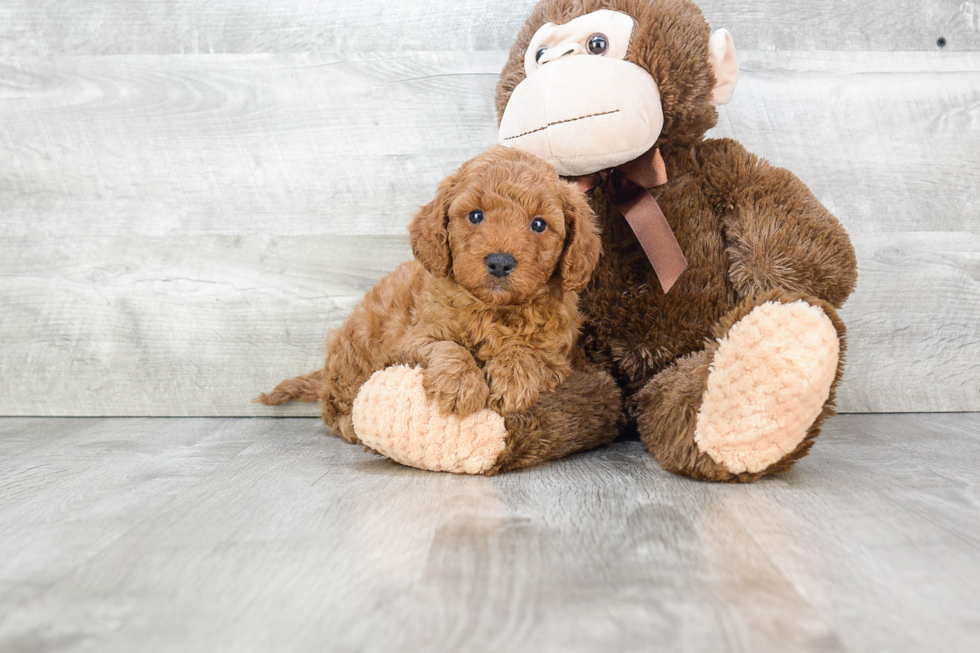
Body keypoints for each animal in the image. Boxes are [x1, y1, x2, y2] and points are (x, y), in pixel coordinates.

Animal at [256, 145, 600, 450]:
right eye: (476, 216)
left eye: (539, 224)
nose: (500, 262)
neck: (493, 310)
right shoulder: (411, 340)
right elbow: (448, 346)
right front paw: (460, 384)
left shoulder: (557, 356)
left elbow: (526, 351)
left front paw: (512, 380)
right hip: (353, 355)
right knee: (335, 409)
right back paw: (353, 427)